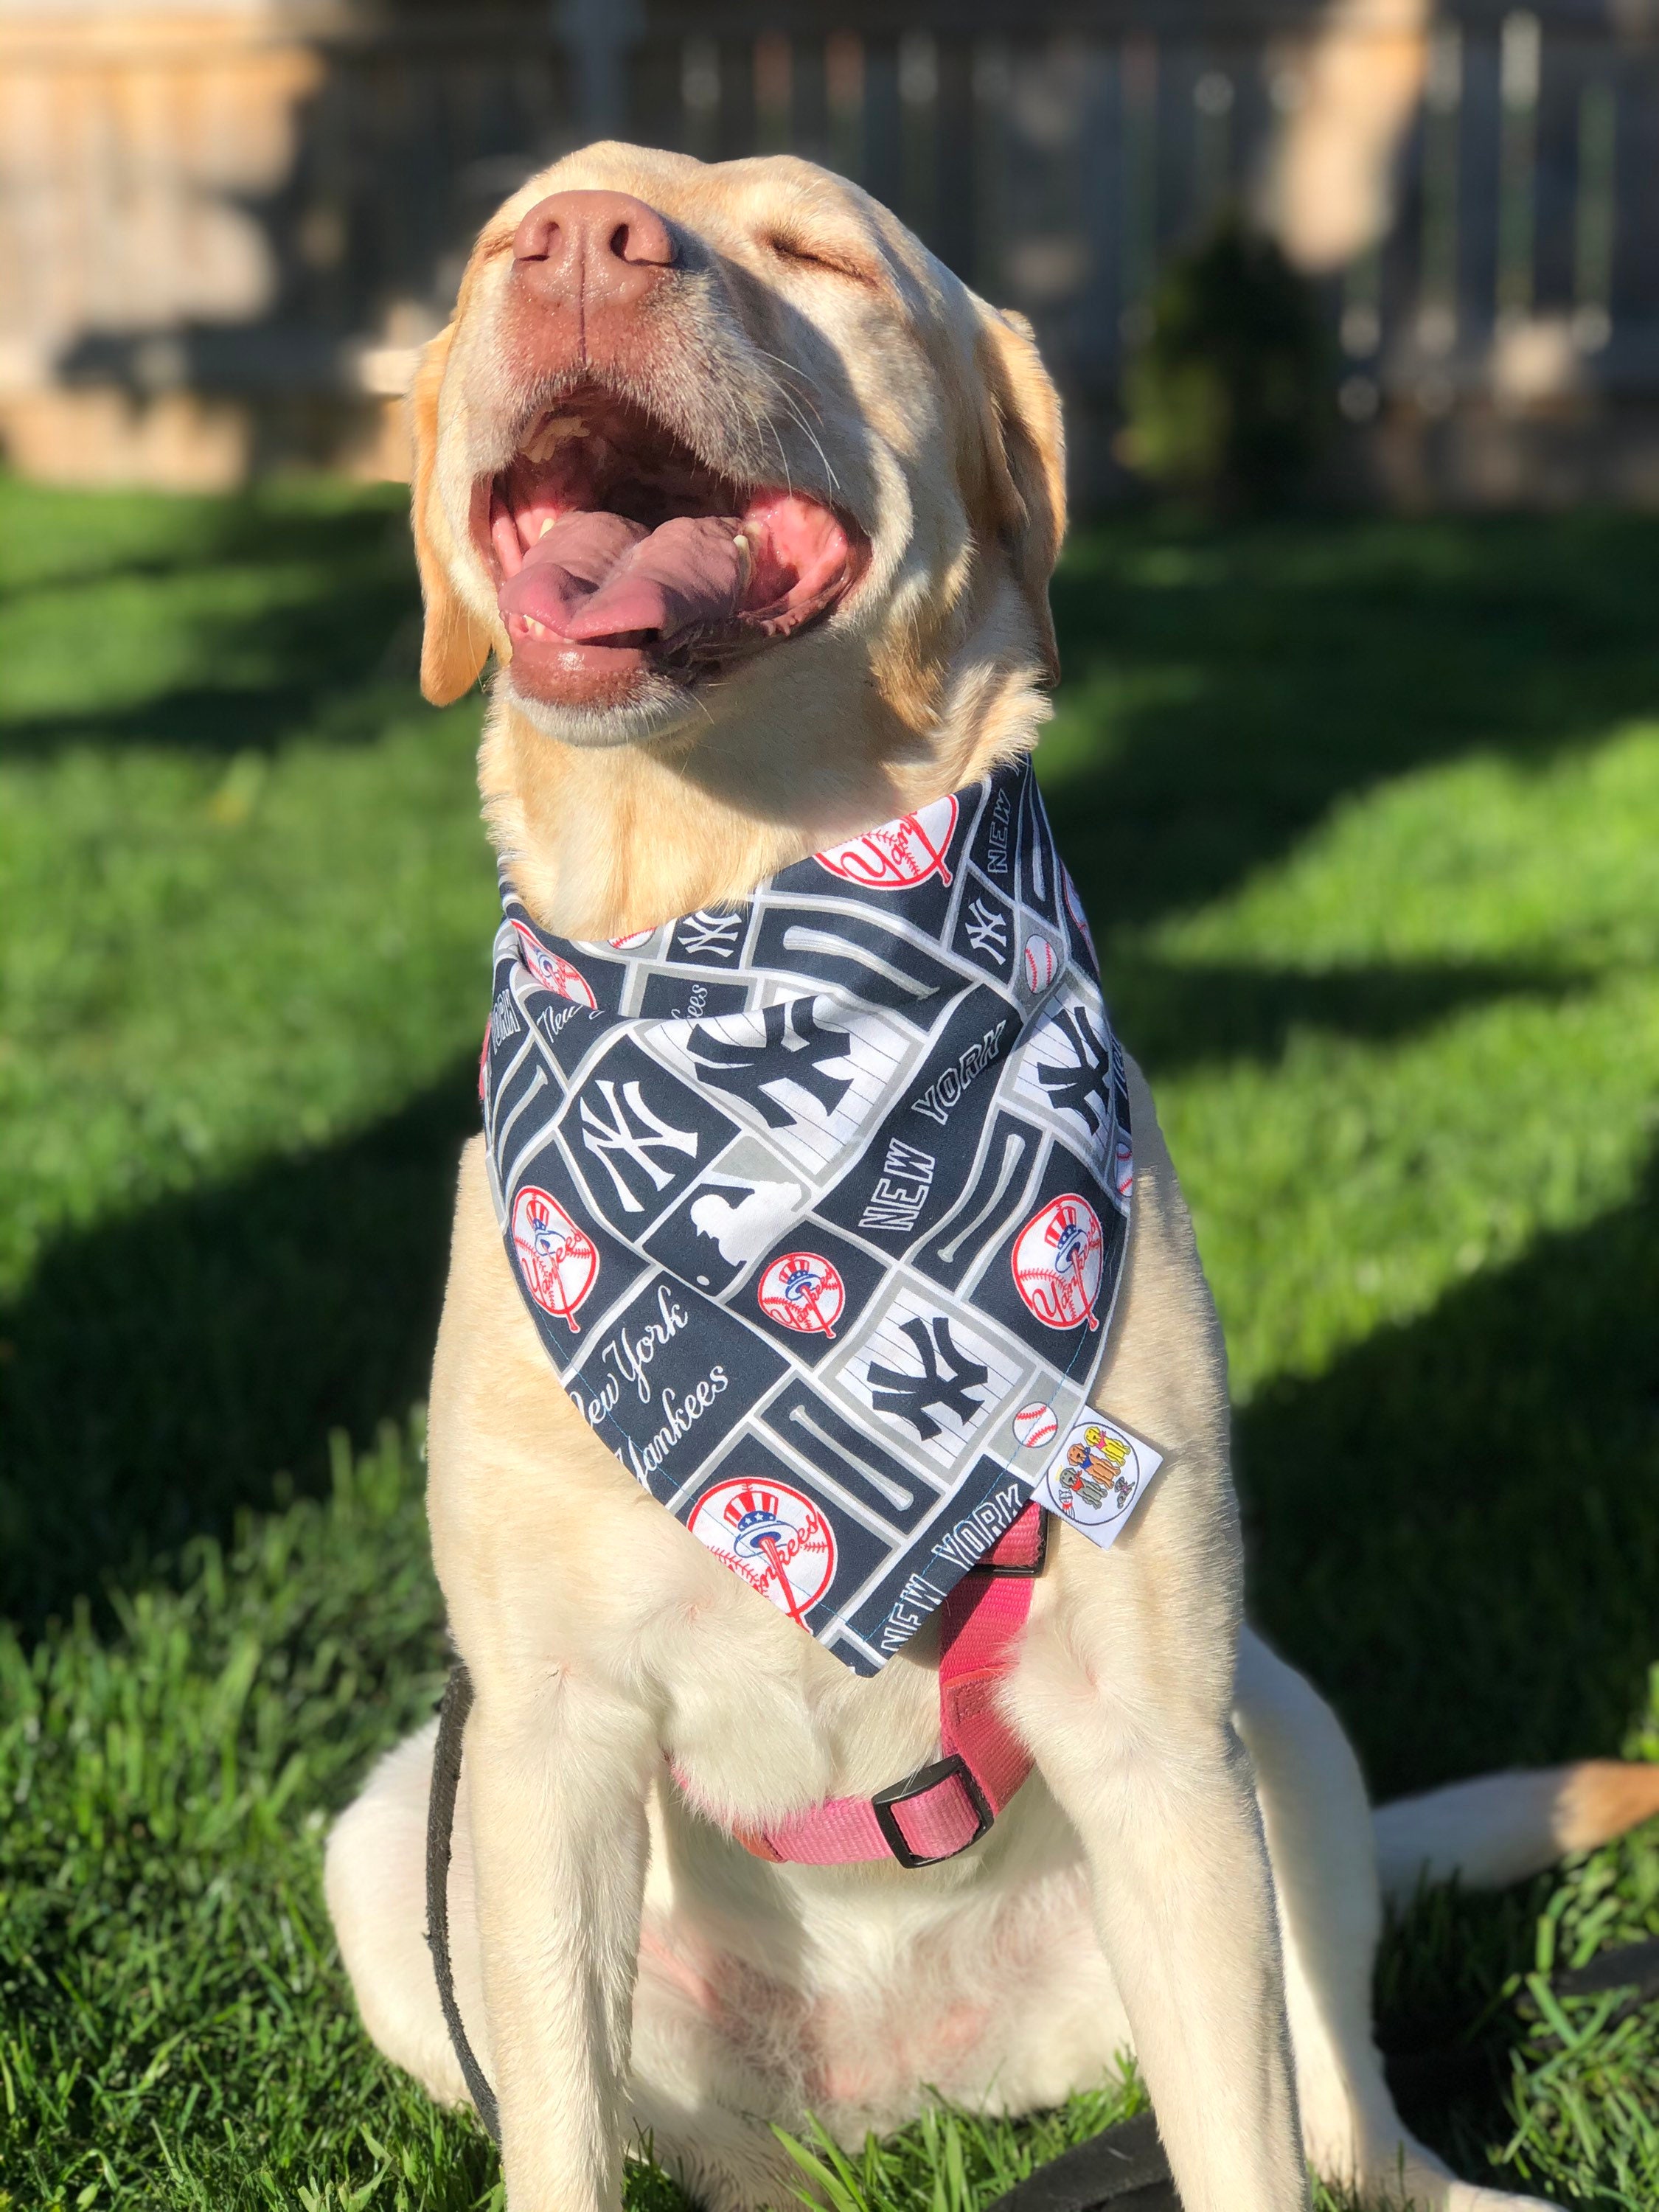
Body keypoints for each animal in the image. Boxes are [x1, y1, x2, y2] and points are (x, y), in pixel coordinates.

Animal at [327, 142, 1659, 2212]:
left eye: (816, 251)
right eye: (497, 244)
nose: (578, 247)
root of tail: (912, 2083)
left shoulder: (1157, 1744)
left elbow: (1249, 2151)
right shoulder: (538, 1747)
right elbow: (559, 2137)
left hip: (1274, 1731)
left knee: (1343, 2117)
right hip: (401, 1841)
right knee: (679, 2135)